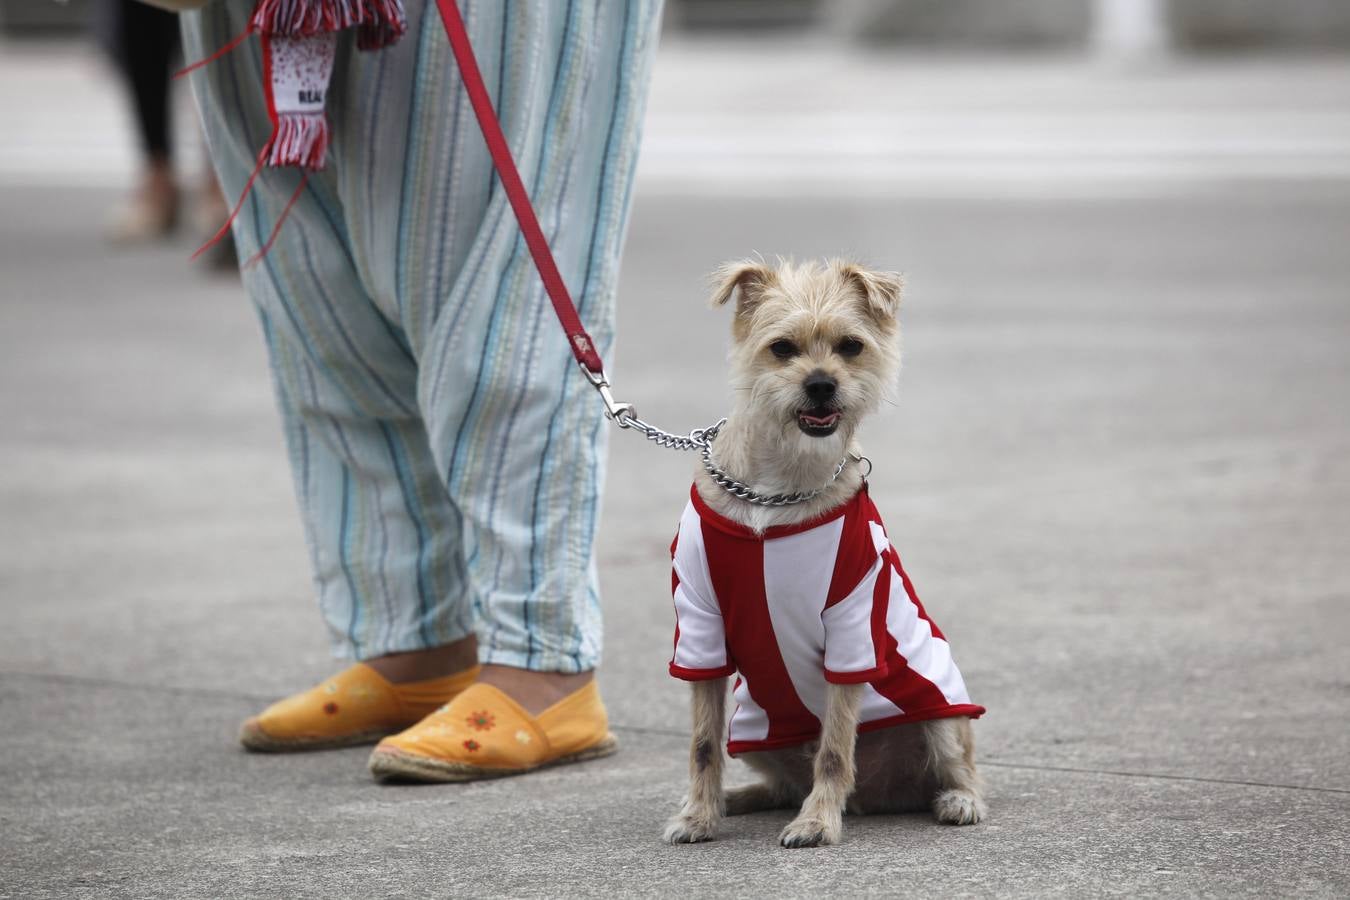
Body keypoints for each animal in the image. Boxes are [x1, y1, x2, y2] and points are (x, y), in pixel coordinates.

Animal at [666, 256, 993, 847]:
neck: (776, 492)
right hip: (755, 733)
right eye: (781, 348)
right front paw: (698, 815)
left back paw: (958, 800)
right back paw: (735, 799)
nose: (821, 384)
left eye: (850, 346)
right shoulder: (700, 632)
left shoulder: (850, 631)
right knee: (778, 783)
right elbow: (702, 745)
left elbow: (836, 750)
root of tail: (881, 797)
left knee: (960, 768)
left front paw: (818, 821)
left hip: (940, 711)